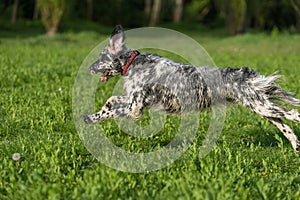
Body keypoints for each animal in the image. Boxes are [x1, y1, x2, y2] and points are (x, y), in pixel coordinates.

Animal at [81, 25, 300, 153]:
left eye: (100, 58)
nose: (88, 68)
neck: (133, 63)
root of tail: (245, 73)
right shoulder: (138, 103)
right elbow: (111, 101)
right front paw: (101, 109)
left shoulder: (135, 106)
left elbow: (111, 112)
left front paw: (90, 118)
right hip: (263, 109)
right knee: (286, 126)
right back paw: (297, 147)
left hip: (262, 107)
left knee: (293, 113)